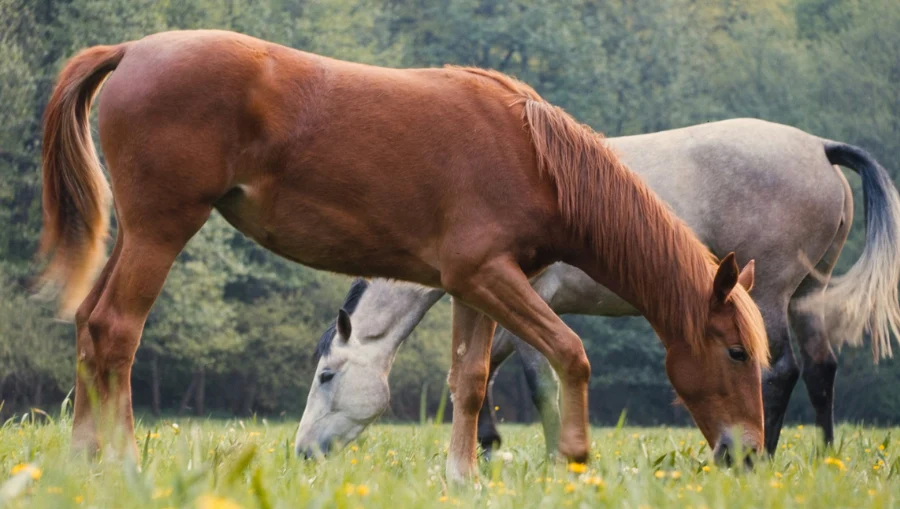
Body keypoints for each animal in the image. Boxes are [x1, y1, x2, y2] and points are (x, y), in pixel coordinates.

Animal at [38, 30, 766, 480]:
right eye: (735, 352)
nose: (750, 456)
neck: (533, 157)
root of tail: (133, 50)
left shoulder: (476, 285)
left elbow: (470, 380)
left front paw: (462, 476)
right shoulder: (488, 276)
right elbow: (570, 352)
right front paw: (575, 457)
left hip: (134, 234)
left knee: (89, 328)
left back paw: (82, 463)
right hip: (160, 231)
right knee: (116, 332)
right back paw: (126, 464)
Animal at [295, 118, 900, 458]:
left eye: (327, 376)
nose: (302, 454)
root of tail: (819, 146)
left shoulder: (526, 300)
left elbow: (523, 378)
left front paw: (534, 455)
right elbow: (489, 373)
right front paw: (500, 449)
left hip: (767, 293)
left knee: (779, 372)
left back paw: (760, 455)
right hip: (805, 295)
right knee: (821, 370)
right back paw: (823, 458)